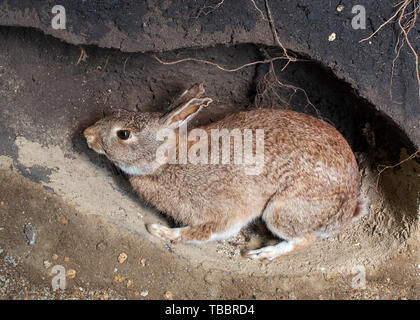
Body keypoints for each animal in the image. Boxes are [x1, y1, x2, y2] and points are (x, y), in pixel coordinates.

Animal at [83, 84, 368, 262]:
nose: (87, 135)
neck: (168, 161)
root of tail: (348, 209)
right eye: (117, 112)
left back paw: (263, 254)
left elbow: (204, 232)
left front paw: (162, 232)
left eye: (123, 134)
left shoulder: (224, 212)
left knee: (304, 239)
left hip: (282, 210)